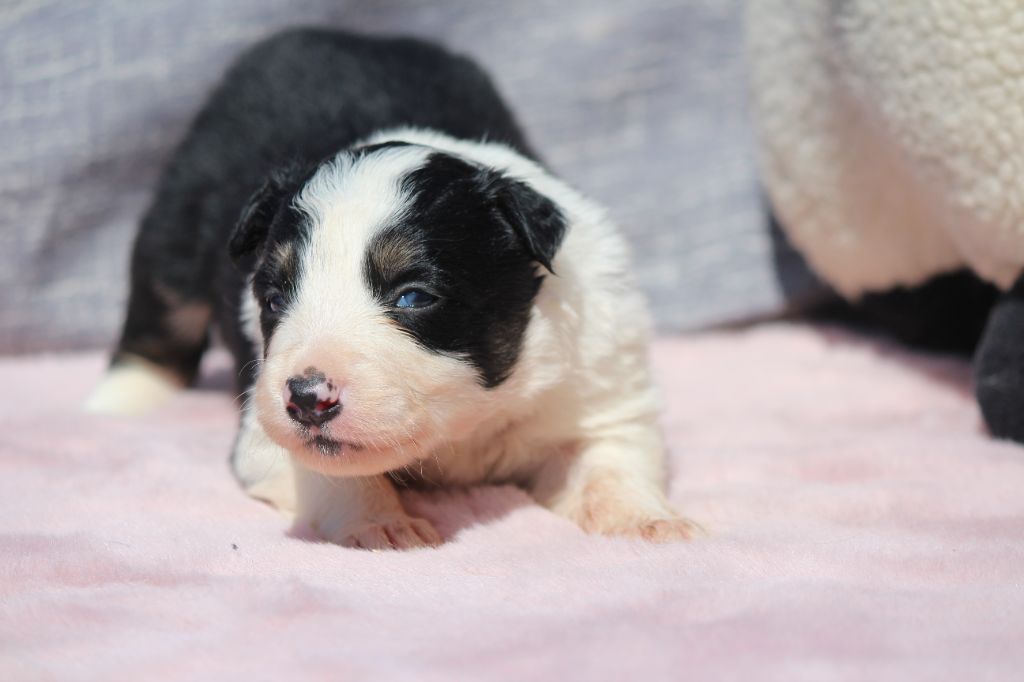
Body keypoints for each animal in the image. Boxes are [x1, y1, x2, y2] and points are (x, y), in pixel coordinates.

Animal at [86, 28, 696, 549]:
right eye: (275, 299)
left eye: (412, 297)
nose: (306, 398)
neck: (468, 423)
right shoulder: (263, 435)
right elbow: (333, 471)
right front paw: (383, 526)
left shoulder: (600, 389)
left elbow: (608, 462)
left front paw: (650, 522)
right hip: (175, 222)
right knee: (156, 322)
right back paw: (117, 404)